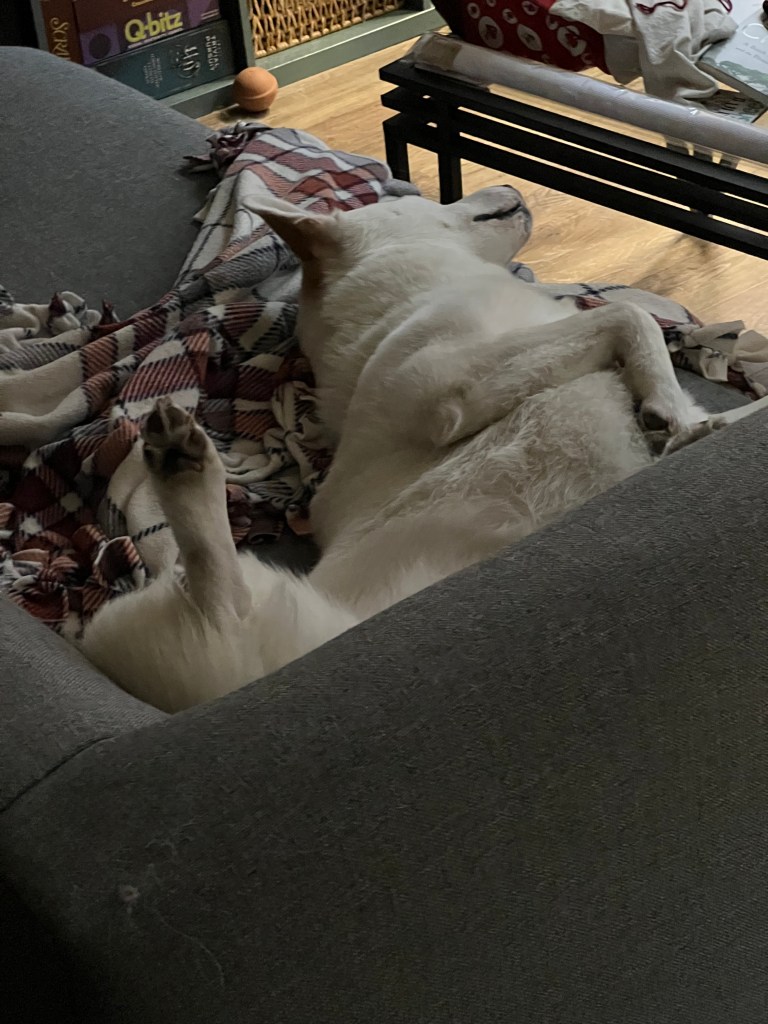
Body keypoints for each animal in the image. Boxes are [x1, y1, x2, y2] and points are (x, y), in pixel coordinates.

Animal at [81, 185, 763, 711]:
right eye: (420, 197)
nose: (505, 187)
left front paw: (690, 423)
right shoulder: (443, 384)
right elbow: (629, 318)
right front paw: (667, 406)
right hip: (248, 645)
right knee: (220, 601)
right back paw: (183, 463)